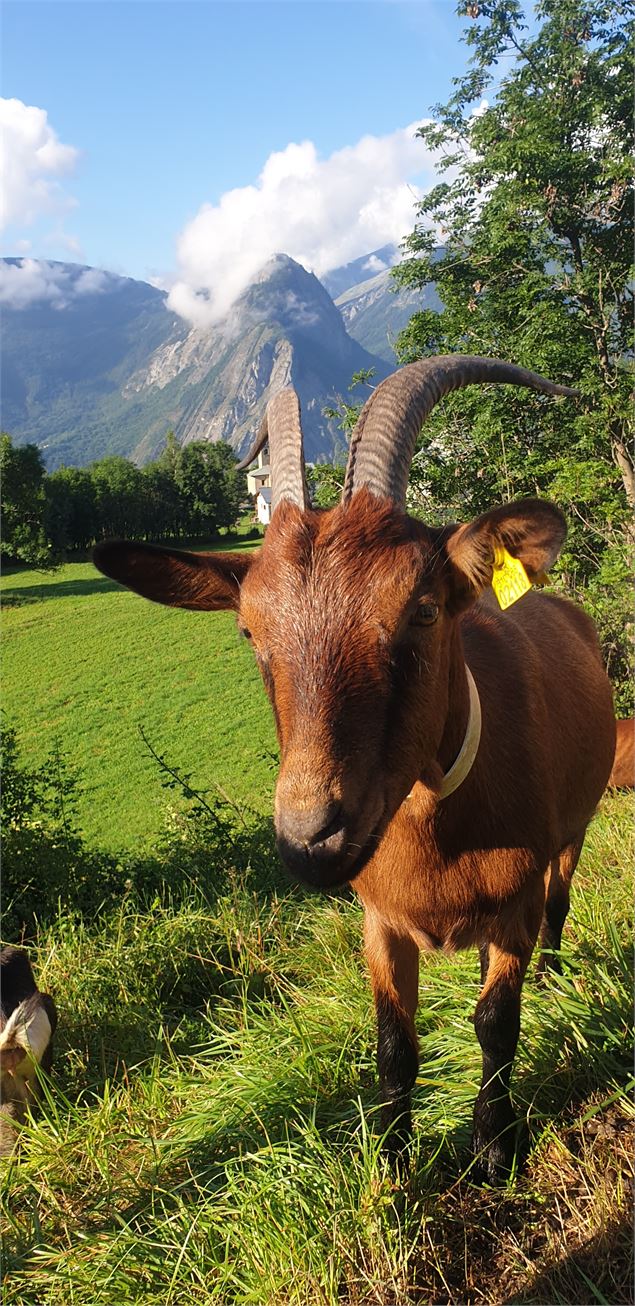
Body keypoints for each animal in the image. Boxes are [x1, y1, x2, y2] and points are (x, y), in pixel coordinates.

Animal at [94, 357, 614, 1185]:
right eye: (248, 630)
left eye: (423, 610)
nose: (311, 837)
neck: (439, 836)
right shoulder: (380, 920)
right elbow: (393, 1043)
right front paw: (394, 1159)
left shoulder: (515, 902)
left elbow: (495, 1022)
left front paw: (492, 1146)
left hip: (572, 834)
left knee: (560, 908)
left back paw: (556, 977)